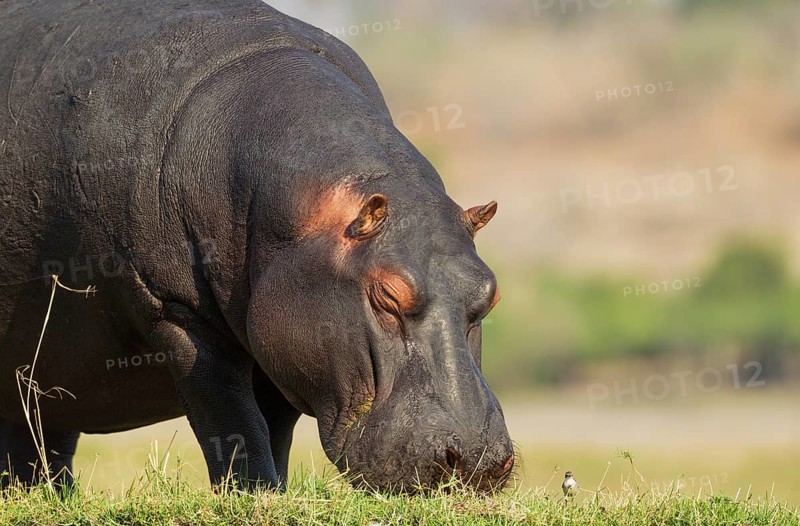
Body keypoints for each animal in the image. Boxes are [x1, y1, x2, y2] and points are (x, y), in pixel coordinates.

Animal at [0, 0, 513, 492]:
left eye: (490, 294)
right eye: (386, 295)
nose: (475, 460)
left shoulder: (283, 335)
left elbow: (275, 427)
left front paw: (275, 493)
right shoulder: (176, 313)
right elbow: (232, 419)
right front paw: (252, 493)